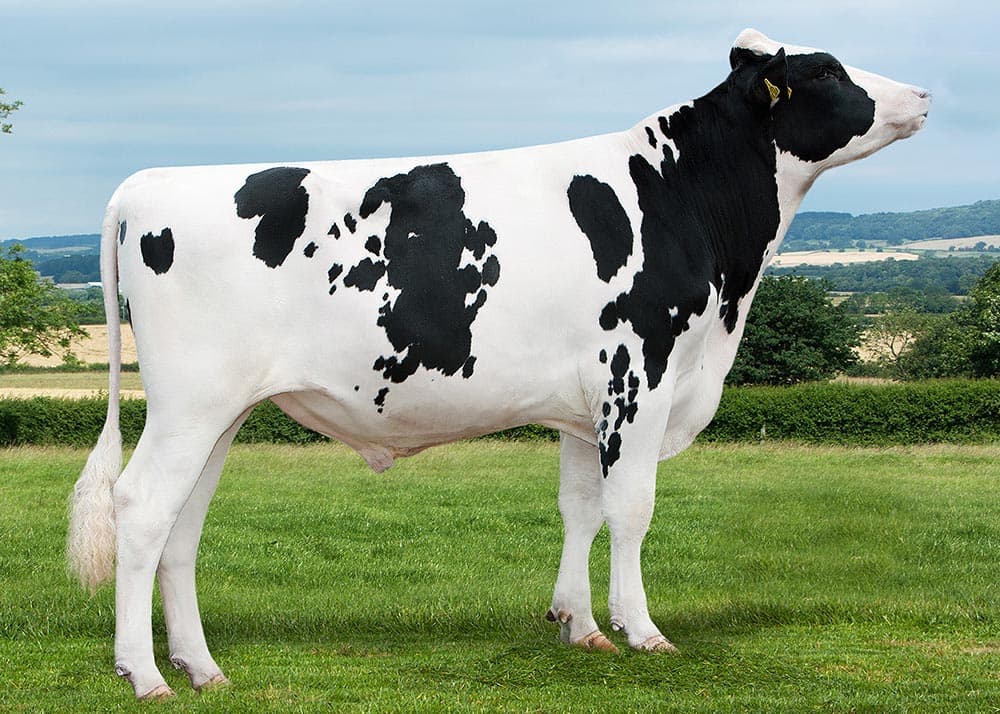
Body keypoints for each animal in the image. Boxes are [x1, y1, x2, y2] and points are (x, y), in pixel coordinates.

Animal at [68, 29, 930, 700]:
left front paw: (580, 625)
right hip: (191, 400)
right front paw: (642, 629)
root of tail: (147, 185)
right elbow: (632, 510)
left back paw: (201, 668)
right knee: (139, 507)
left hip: (222, 410)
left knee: (181, 526)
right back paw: (144, 674)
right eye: (827, 72)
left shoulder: (586, 406)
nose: (922, 92)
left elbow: (581, 509)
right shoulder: (639, 378)